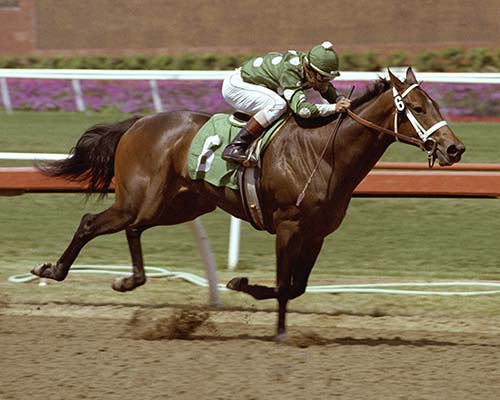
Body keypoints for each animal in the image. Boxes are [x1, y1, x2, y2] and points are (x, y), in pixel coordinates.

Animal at [33, 68, 466, 338]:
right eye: (419, 108)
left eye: (438, 105)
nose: (454, 149)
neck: (322, 153)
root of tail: (137, 123)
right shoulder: (289, 226)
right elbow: (284, 285)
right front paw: (279, 332)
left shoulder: (317, 234)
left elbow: (296, 287)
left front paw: (243, 284)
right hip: (141, 198)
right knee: (92, 222)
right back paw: (52, 270)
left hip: (178, 206)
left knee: (134, 227)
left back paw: (127, 279)